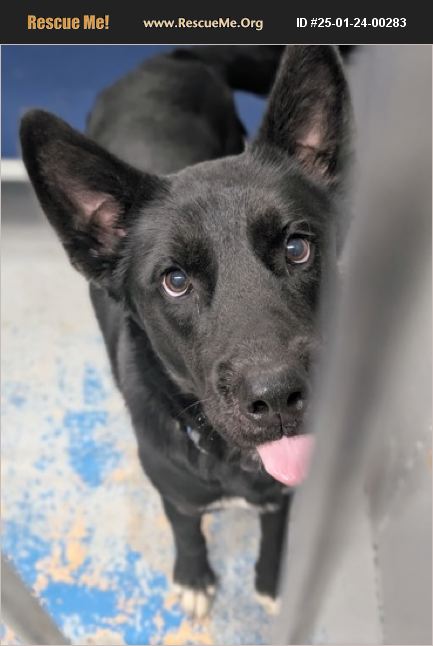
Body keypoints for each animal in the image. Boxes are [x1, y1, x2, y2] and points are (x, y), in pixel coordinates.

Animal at [20, 45, 352, 619]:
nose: (278, 398)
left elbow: (275, 534)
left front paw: (271, 583)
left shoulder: (285, 494)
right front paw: (195, 578)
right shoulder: (172, 489)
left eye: (297, 248)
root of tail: (168, 55)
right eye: (175, 282)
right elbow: (187, 530)